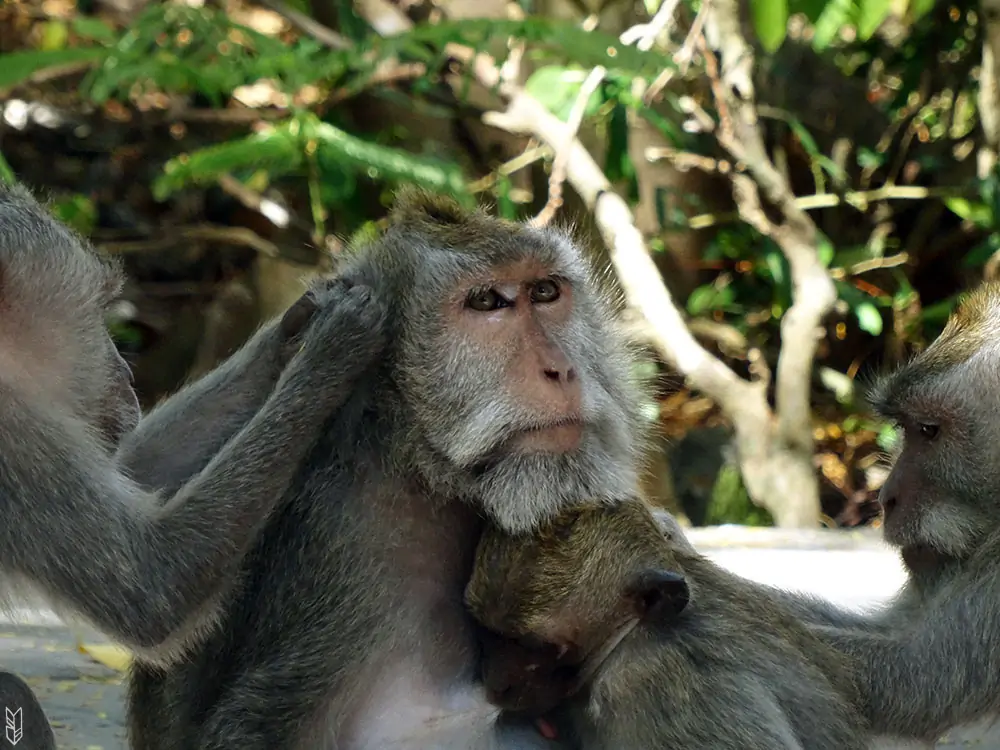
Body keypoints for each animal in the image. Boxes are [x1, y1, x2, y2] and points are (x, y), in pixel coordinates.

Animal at [0, 184, 386, 664]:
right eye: (97, 314)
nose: (125, 372)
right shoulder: (15, 441)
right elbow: (155, 587)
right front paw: (327, 353)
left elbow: (136, 469)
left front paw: (291, 333)